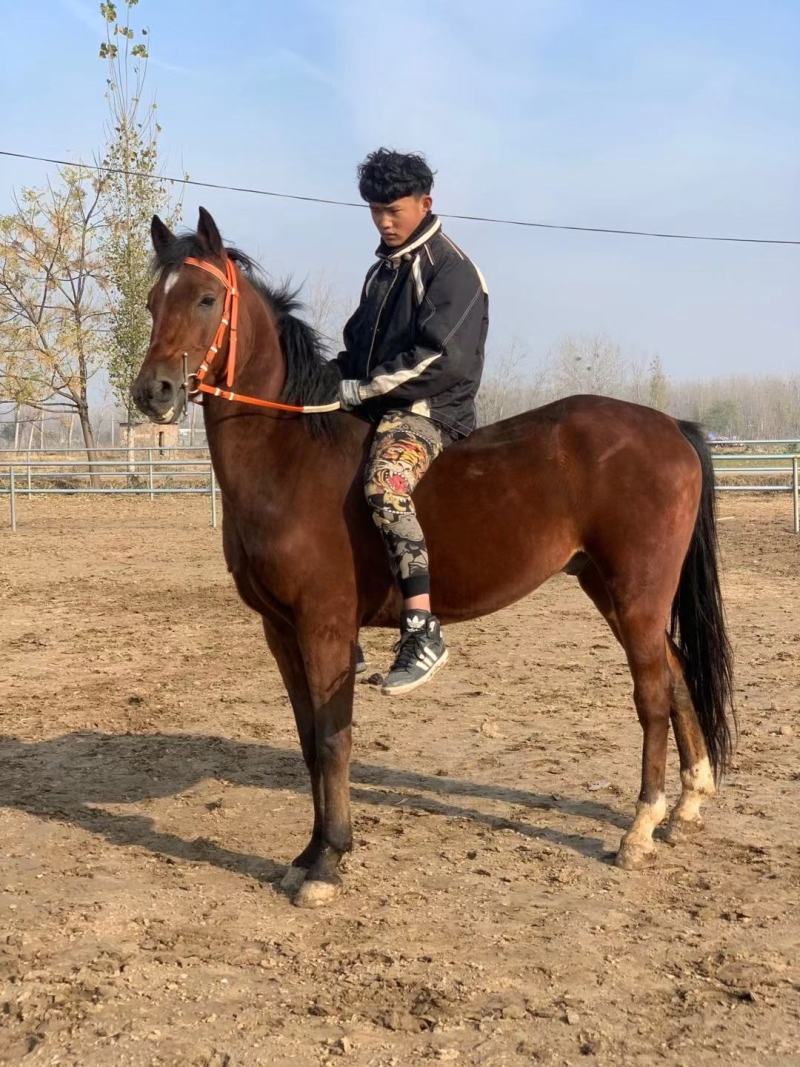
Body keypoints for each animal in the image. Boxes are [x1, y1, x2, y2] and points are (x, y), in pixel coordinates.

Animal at [132, 207, 734, 909]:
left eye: (205, 298)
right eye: (153, 302)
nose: (153, 392)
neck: (290, 455)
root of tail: (671, 427)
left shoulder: (324, 627)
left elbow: (333, 738)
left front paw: (329, 862)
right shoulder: (279, 630)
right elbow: (308, 741)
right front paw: (306, 855)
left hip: (637, 595)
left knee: (652, 694)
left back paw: (639, 830)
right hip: (611, 590)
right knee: (676, 672)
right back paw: (686, 806)